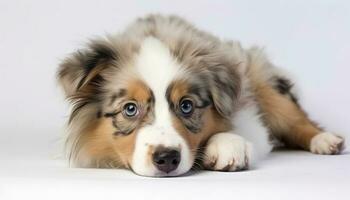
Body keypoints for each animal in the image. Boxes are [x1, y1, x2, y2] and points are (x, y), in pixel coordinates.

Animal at [56, 14, 344, 177]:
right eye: (130, 109)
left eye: (186, 106)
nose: (167, 159)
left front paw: (228, 147)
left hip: (264, 81)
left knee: (294, 116)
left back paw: (325, 140)